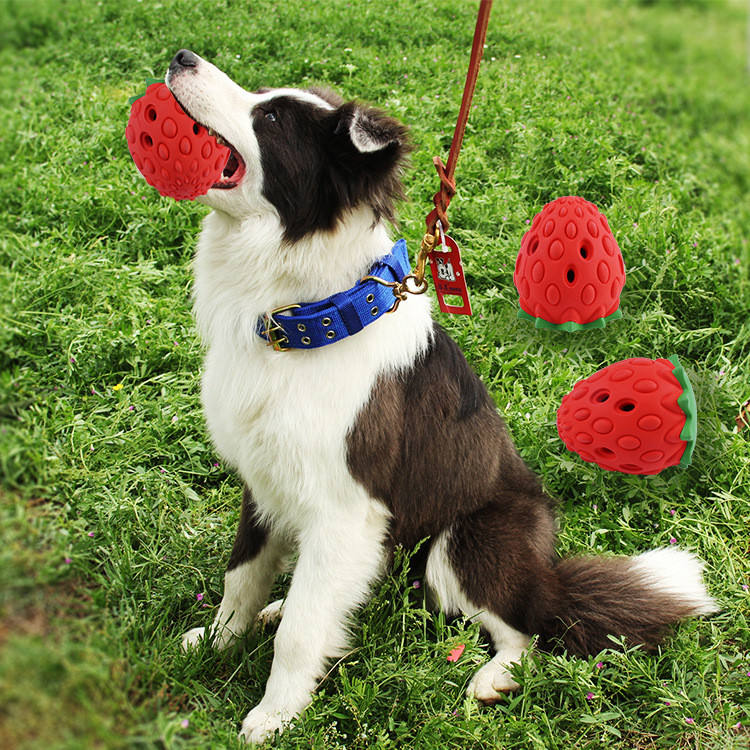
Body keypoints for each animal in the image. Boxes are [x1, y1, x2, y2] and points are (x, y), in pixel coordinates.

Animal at [167, 51, 720, 748]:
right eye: (262, 95)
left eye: (269, 119)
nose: (182, 58)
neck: (309, 317)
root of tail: (547, 570)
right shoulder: (264, 481)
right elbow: (241, 577)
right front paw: (218, 643)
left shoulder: (347, 508)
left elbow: (300, 635)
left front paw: (273, 716)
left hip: (463, 543)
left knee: (525, 627)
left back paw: (493, 679)